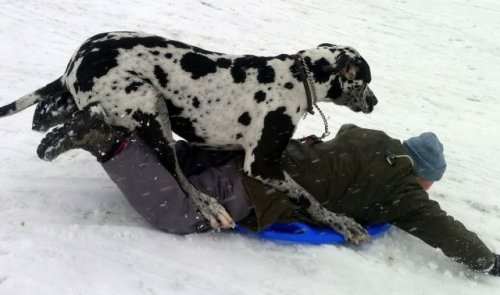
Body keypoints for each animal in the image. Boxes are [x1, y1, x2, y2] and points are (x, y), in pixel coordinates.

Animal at [0, 31, 376, 244]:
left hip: (78, 102)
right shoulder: (263, 165)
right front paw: (343, 223)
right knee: (177, 174)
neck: (298, 78)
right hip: (151, 106)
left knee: (43, 116)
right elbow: (308, 197)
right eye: (366, 81)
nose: (374, 102)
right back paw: (211, 208)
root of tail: (75, 62)